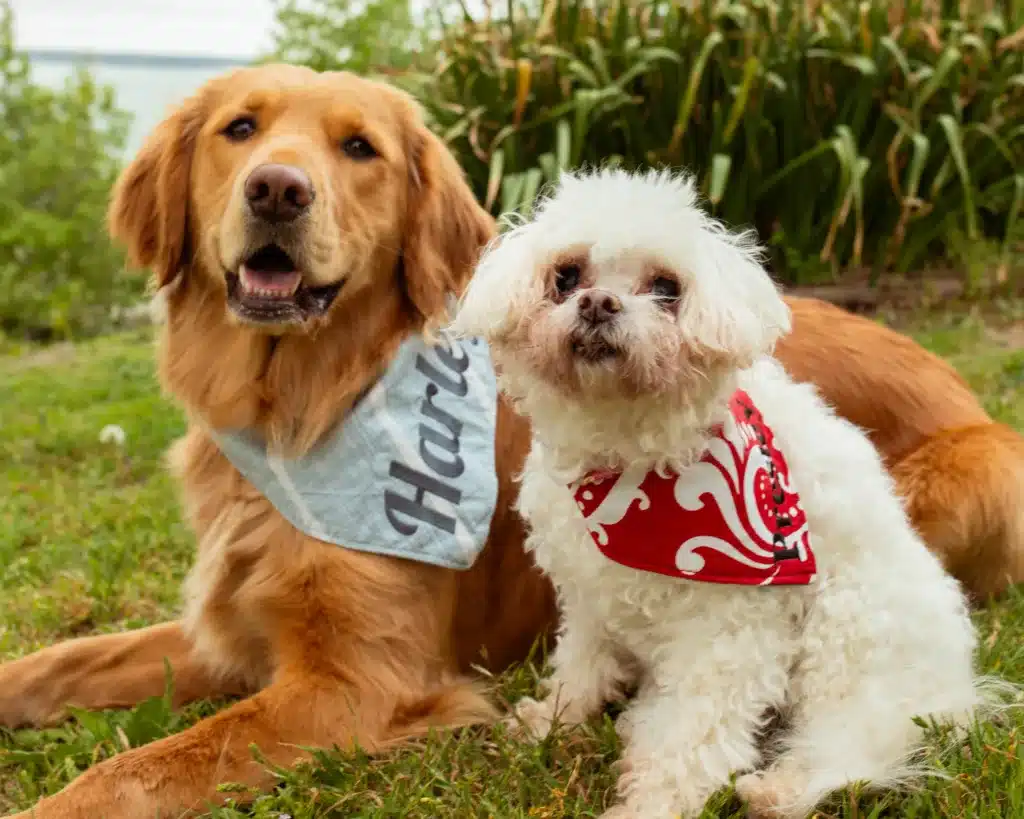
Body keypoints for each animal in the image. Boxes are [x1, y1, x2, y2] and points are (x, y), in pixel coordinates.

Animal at [452, 165, 987, 818]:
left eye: (666, 287)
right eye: (567, 275)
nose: (598, 303)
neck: (628, 456)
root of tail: (956, 689)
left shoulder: (729, 631)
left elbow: (693, 734)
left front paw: (652, 805)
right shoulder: (589, 594)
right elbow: (582, 662)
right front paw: (552, 720)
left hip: (848, 642)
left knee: (850, 748)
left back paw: (778, 789)